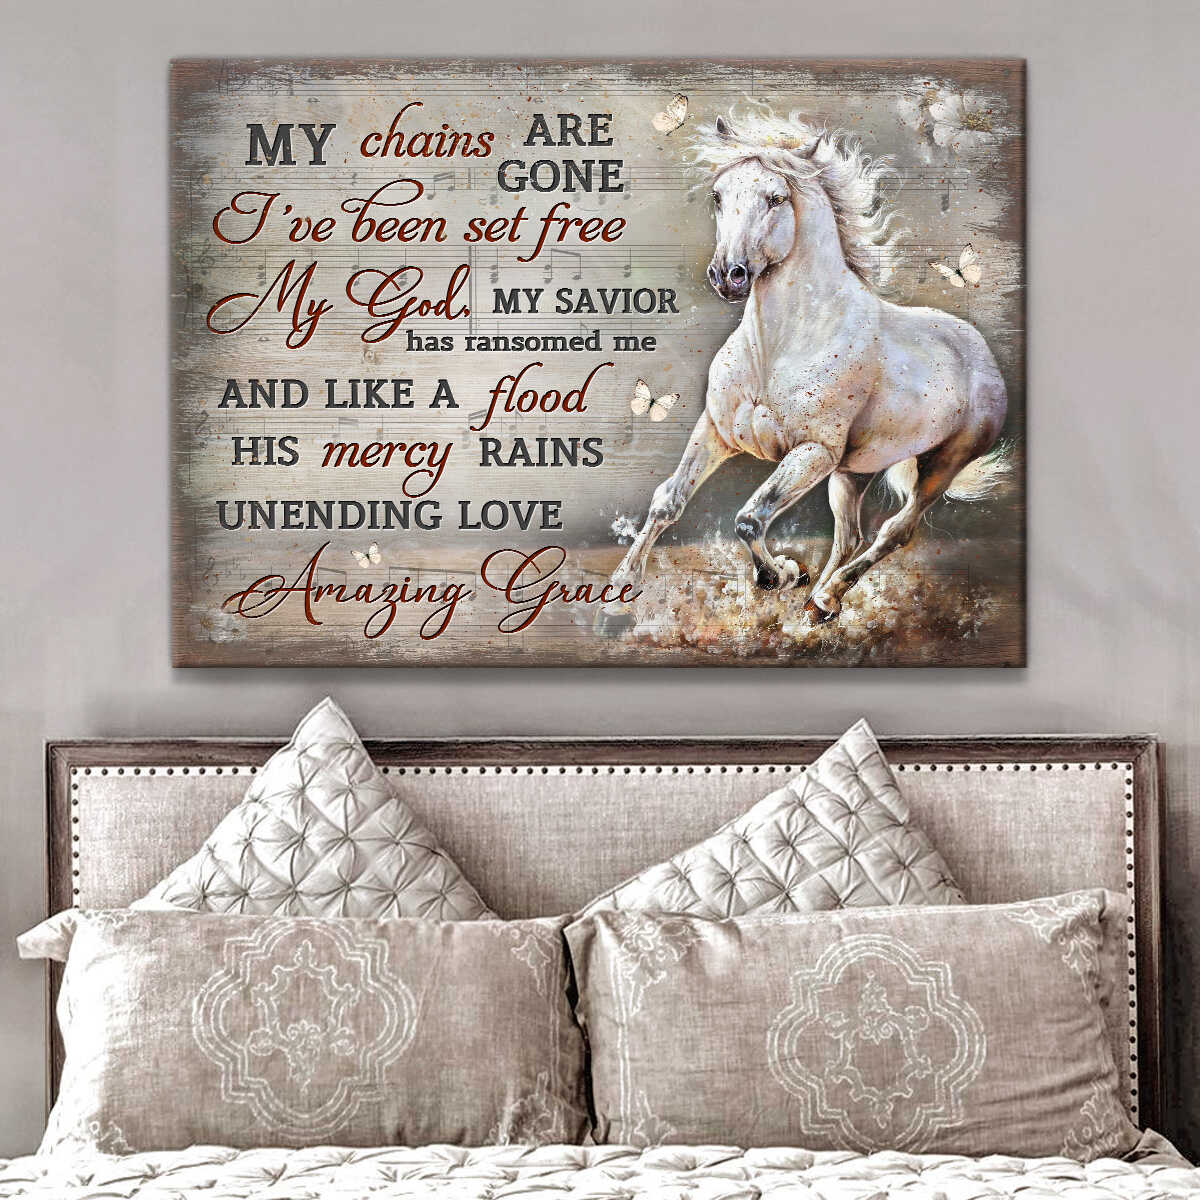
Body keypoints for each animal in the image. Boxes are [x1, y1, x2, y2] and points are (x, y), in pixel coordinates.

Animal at [609, 108, 1009, 624]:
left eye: (776, 197)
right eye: (719, 196)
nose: (728, 276)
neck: (779, 348)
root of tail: (981, 350)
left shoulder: (812, 451)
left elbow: (749, 518)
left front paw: (778, 574)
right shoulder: (717, 431)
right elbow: (667, 502)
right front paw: (619, 593)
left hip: (941, 465)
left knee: (894, 531)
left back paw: (825, 595)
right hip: (852, 472)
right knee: (849, 535)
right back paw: (817, 605)